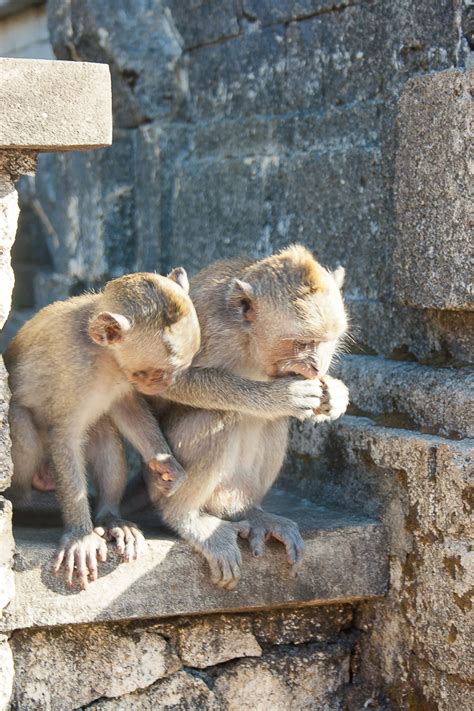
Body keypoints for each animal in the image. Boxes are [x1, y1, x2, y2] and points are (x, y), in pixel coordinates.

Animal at [4, 268, 200, 588]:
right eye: (157, 373)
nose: (169, 385)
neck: (105, 355)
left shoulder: (121, 379)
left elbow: (126, 409)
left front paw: (166, 464)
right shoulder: (75, 372)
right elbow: (65, 435)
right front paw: (80, 536)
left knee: (104, 431)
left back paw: (110, 519)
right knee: (20, 419)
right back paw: (27, 503)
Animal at [125, 248, 348, 592]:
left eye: (327, 342)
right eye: (302, 343)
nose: (316, 367)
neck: (249, 339)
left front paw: (334, 394)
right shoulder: (205, 324)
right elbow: (166, 381)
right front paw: (278, 397)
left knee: (273, 423)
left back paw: (246, 512)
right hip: (160, 479)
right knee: (219, 414)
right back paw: (185, 517)